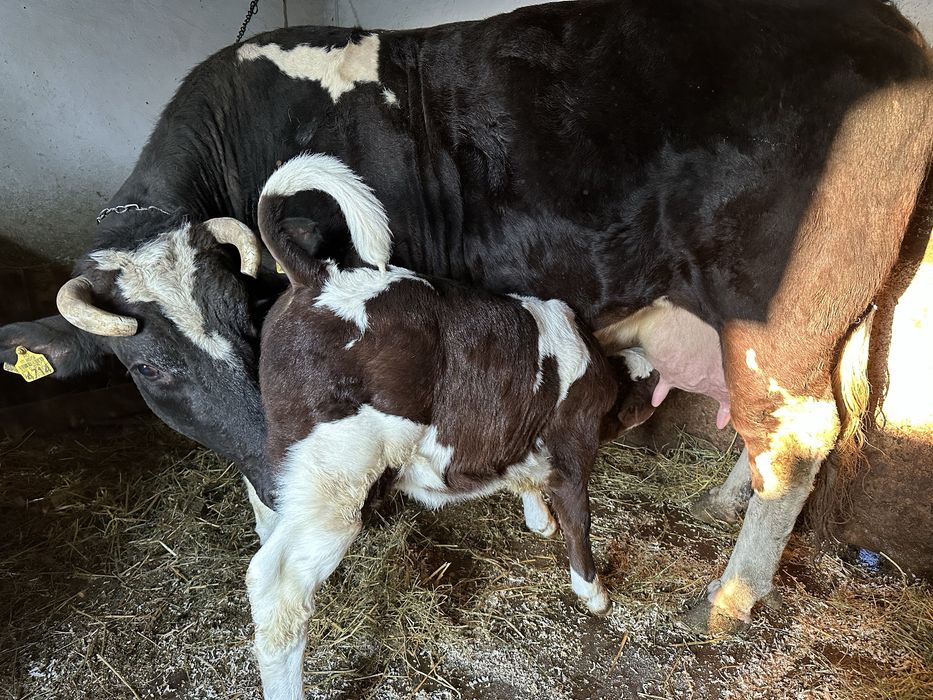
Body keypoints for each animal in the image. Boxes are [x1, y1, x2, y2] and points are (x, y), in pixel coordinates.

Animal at [2, 0, 931, 637]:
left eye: (249, 324)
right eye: (152, 367)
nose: (276, 464)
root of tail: (888, 27)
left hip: (778, 311)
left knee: (797, 437)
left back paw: (730, 595)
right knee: (771, 428)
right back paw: (720, 501)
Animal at [250, 152, 623, 697]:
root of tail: (316, 277)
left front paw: (538, 519)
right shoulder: (573, 444)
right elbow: (579, 517)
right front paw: (593, 592)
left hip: (294, 466)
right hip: (337, 478)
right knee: (277, 588)